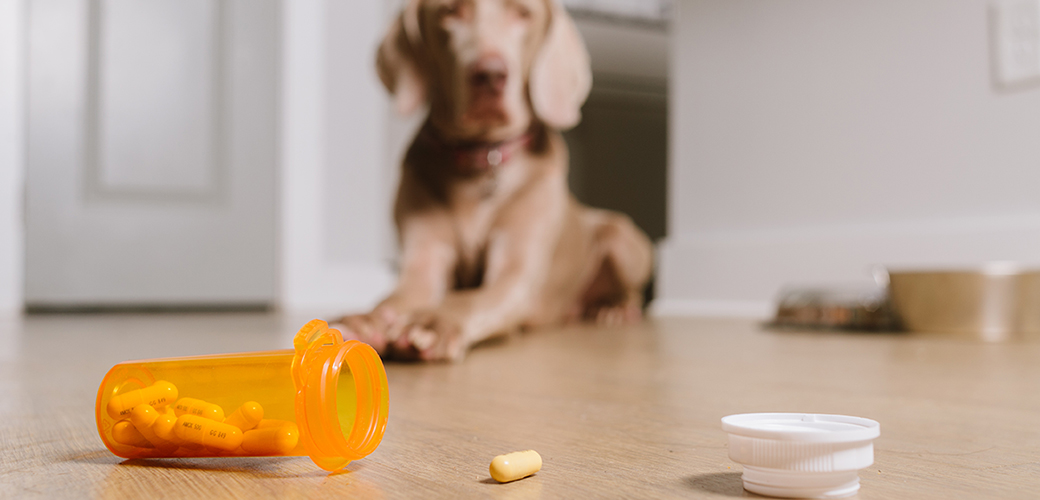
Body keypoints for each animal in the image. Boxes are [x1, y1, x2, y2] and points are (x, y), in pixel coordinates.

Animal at [336, 0, 648, 359]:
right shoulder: (424, 262)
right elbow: (396, 297)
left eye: (524, 14)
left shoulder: (515, 274)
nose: (490, 74)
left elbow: (469, 298)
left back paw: (612, 309)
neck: (483, 158)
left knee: (630, 289)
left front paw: (432, 322)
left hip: (619, 234)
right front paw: (365, 321)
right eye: (449, 12)